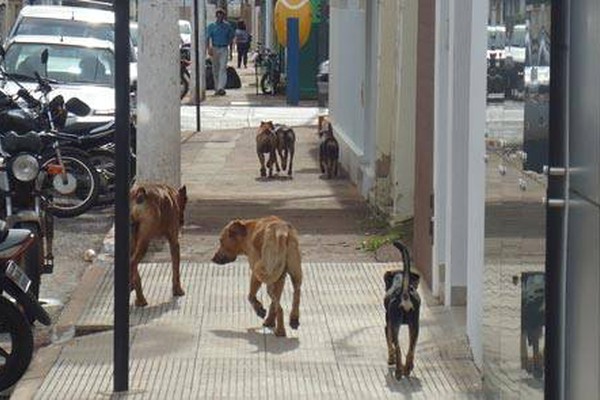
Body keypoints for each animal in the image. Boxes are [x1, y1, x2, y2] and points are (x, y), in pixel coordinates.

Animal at [384, 239, 422, 380]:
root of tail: (404, 293)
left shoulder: (387, 325)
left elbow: (389, 344)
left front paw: (391, 359)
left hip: (395, 325)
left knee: (398, 348)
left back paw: (399, 371)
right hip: (415, 326)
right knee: (411, 349)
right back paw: (407, 368)